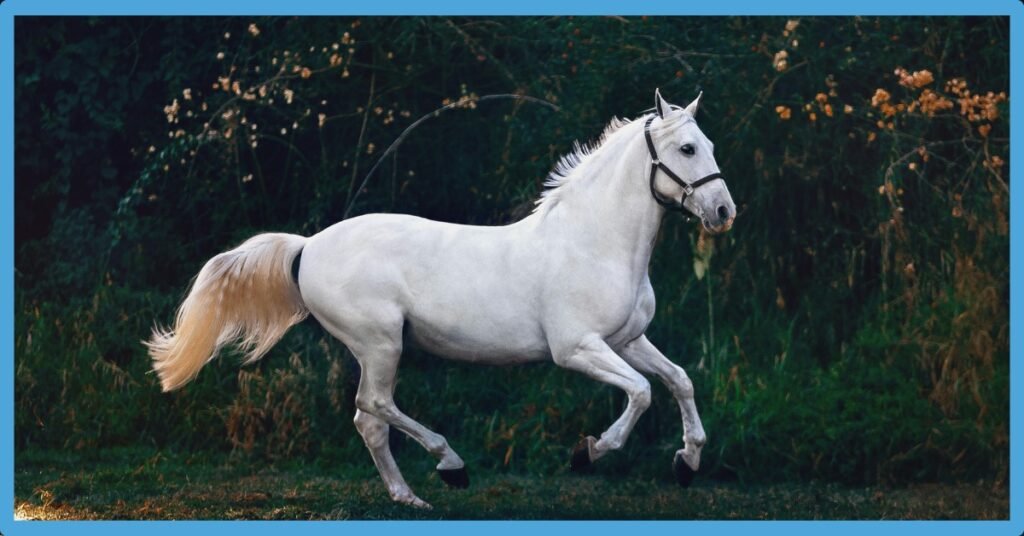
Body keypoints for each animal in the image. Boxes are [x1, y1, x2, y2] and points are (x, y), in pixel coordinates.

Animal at [147, 89, 736, 508]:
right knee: (374, 407)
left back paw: (410, 496)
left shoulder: (628, 340)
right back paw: (450, 466)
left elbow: (679, 380)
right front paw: (588, 452)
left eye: (710, 146)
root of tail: (308, 246)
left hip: (378, 348)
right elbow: (641, 392)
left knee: (368, 420)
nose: (724, 212)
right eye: (687, 148)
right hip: (380, 343)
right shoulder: (577, 349)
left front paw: (687, 462)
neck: (593, 242)